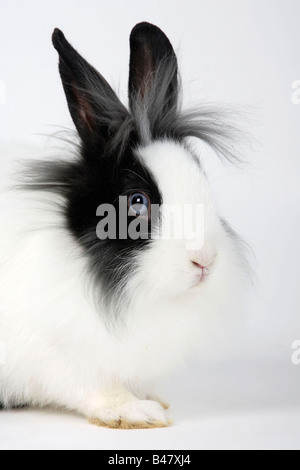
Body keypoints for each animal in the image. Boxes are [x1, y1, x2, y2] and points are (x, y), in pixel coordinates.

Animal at [0, 22, 248, 428]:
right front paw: (137, 413)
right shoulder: (57, 354)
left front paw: (153, 398)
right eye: (137, 202)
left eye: (201, 178)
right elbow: (94, 387)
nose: (205, 261)